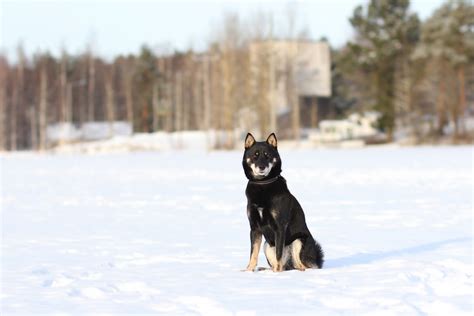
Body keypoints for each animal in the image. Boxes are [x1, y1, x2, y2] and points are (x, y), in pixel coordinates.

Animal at [243, 133, 324, 272]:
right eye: (255, 155)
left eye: (267, 156)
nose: (262, 167)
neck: (262, 184)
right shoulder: (254, 228)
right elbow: (253, 253)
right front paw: (248, 271)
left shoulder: (279, 226)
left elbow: (278, 254)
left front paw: (276, 273)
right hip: (267, 245)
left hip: (298, 241)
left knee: (301, 266)